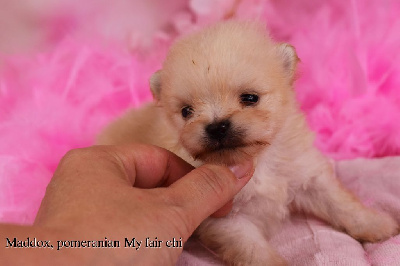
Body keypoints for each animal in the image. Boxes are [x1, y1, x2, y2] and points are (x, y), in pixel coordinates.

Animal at [98, 21, 398, 266]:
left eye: (250, 98)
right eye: (186, 112)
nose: (217, 126)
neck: (257, 159)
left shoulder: (305, 173)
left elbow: (341, 203)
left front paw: (377, 224)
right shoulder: (228, 219)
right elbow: (254, 251)